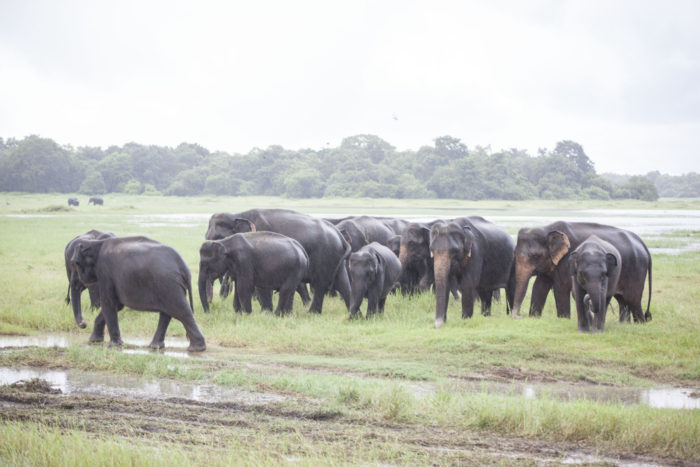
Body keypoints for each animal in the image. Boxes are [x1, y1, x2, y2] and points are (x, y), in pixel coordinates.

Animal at [70, 236, 206, 352]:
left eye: (75, 263)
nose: (83, 324)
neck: (96, 243)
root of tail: (184, 267)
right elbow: (116, 305)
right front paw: (94, 341)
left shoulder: (105, 272)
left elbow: (109, 304)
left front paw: (113, 346)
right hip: (168, 286)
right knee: (167, 313)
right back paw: (156, 347)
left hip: (169, 284)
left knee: (181, 311)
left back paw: (196, 349)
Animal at [206, 209, 350, 314]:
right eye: (206, 237)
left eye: (219, 237)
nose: (212, 302)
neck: (238, 214)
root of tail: (339, 234)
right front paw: (239, 312)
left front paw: (265, 313)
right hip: (335, 257)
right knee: (342, 282)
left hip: (326, 256)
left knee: (320, 284)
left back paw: (311, 313)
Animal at [508, 221, 652, 324]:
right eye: (514, 253)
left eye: (535, 256)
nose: (519, 316)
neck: (546, 228)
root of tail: (642, 243)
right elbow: (539, 287)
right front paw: (534, 317)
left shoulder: (568, 260)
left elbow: (560, 288)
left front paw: (563, 319)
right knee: (622, 301)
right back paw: (624, 324)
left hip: (637, 270)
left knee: (633, 300)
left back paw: (640, 324)